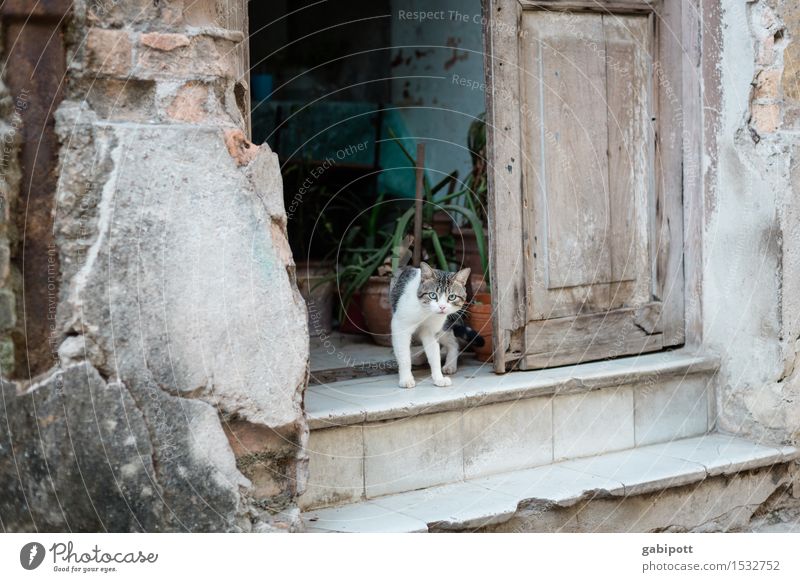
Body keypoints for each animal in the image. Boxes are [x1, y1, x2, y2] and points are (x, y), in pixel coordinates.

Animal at [390, 262, 482, 390]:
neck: (425, 312)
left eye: (452, 297)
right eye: (433, 295)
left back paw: (450, 365)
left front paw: (439, 378)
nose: (442, 307)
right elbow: (404, 355)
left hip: (443, 328)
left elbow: (434, 355)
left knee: (454, 343)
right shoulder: (400, 327)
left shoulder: (431, 332)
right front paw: (406, 379)